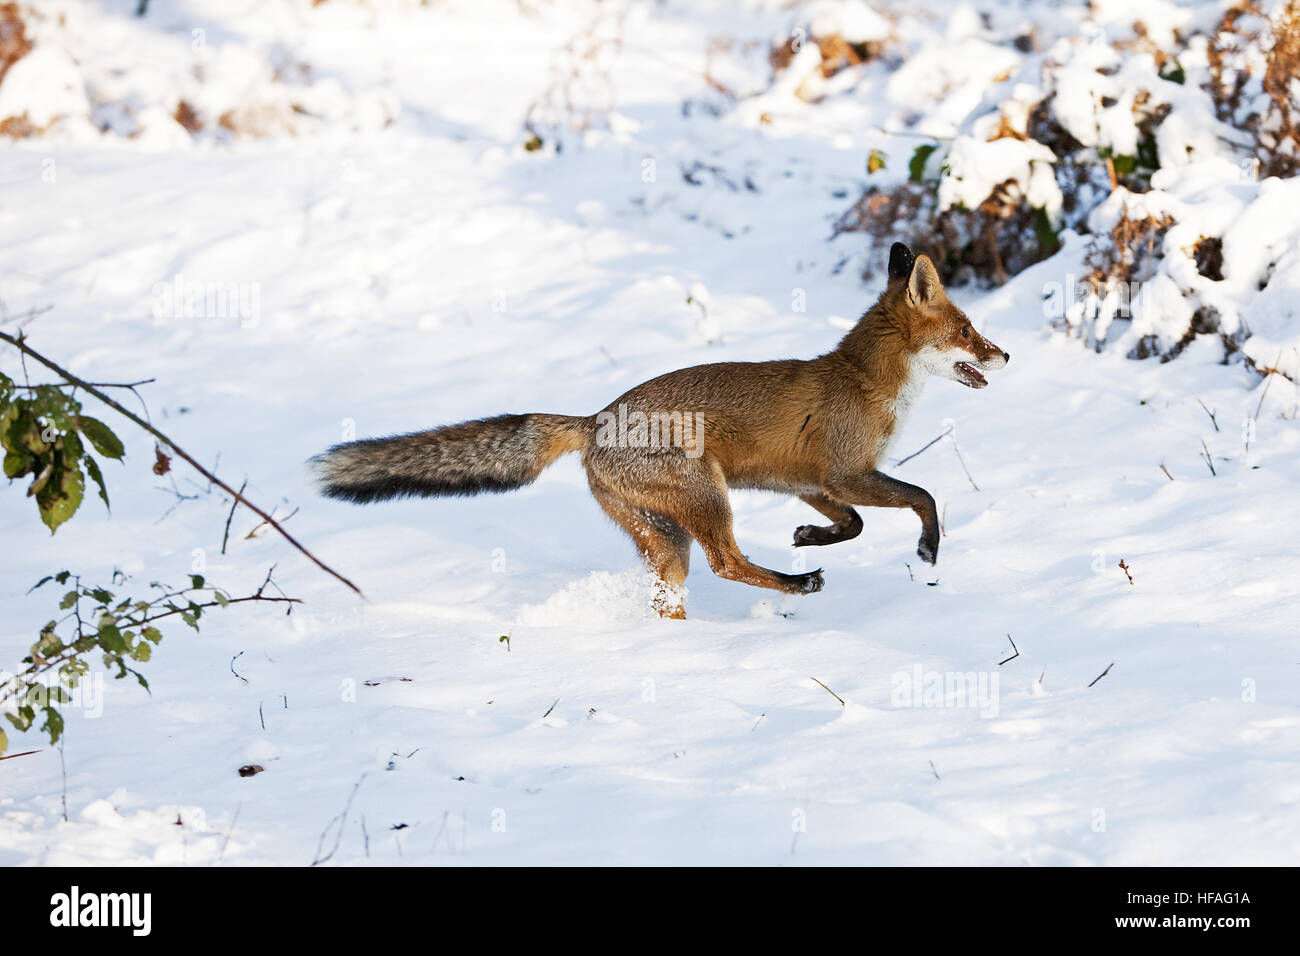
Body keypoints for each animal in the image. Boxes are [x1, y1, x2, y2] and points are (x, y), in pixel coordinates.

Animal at [309, 243, 1008, 621]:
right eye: (968, 330)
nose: (1005, 355)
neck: (866, 383)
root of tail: (594, 419)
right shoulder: (846, 472)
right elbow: (923, 498)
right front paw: (927, 551)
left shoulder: (810, 483)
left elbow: (855, 524)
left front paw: (811, 537)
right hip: (708, 503)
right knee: (728, 563)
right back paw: (795, 585)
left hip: (666, 541)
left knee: (673, 594)